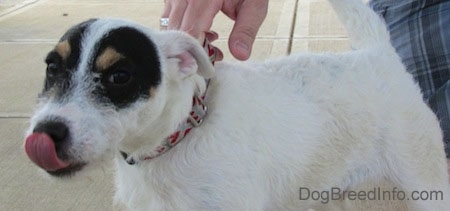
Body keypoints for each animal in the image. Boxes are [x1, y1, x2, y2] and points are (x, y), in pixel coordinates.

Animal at [25, 0, 450, 209]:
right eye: (51, 67)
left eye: (120, 76)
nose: (46, 133)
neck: (179, 136)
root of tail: (378, 54)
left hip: (426, 182)